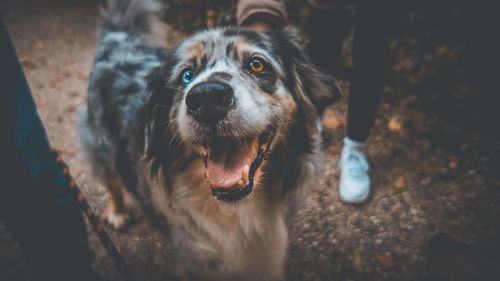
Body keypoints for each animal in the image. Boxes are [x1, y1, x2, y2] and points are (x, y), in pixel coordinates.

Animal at [79, 0, 340, 278]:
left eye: (257, 64)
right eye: (186, 75)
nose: (207, 98)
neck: (236, 212)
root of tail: (119, 38)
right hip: (101, 144)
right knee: (112, 180)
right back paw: (118, 212)